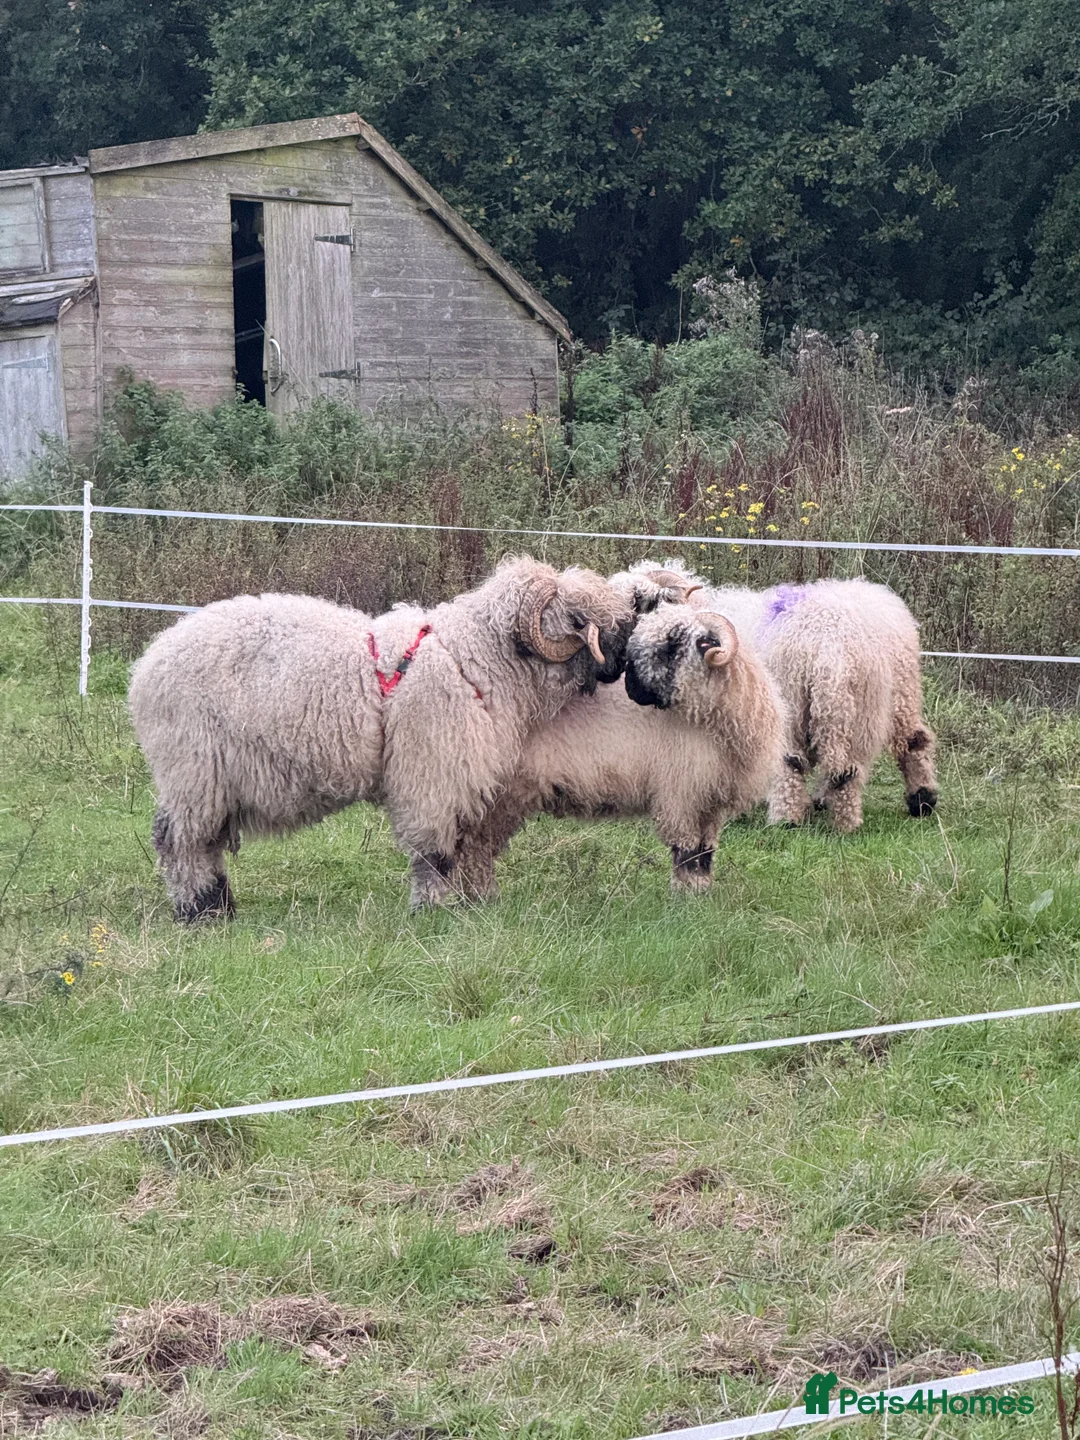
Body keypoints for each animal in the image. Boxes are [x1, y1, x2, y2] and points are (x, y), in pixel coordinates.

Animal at [128, 557, 635, 921]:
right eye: (580, 619)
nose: (625, 662)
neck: (473, 660)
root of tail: (148, 665)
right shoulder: (431, 773)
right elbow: (434, 852)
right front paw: (431, 911)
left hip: (208, 779)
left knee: (204, 841)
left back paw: (220, 907)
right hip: (193, 768)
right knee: (177, 841)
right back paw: (198, 911)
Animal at [455, 602, 785, 896]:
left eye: (672, 644)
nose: (631, 688)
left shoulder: (709, 803)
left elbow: (705, 854)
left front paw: (702, 894)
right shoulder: (680, 795)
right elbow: (687, 853)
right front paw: (685, 899)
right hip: (497, 795)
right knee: (475, 846)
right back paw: (480, 898)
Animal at [627, 560, 939, 833]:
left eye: (637, 603)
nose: (631, 688)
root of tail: (832, 647)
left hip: (796, 703)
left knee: (793, 762)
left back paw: (787, 819)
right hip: (879, 702)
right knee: (900, 746)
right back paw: (913, 802)